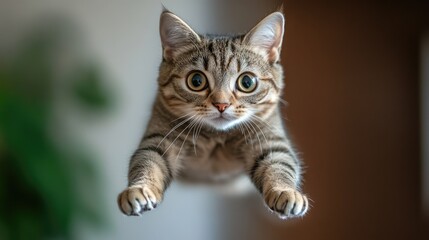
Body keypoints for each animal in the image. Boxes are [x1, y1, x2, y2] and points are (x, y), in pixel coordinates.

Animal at [117, 9, 308, 219]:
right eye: (196, 80)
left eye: (247, 82)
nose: (221, 104)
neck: (215, 138)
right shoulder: (158, 140)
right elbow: (146, 163)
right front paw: (139, 190)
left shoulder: (270, 142)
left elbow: (280, 165)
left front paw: (285, 192)